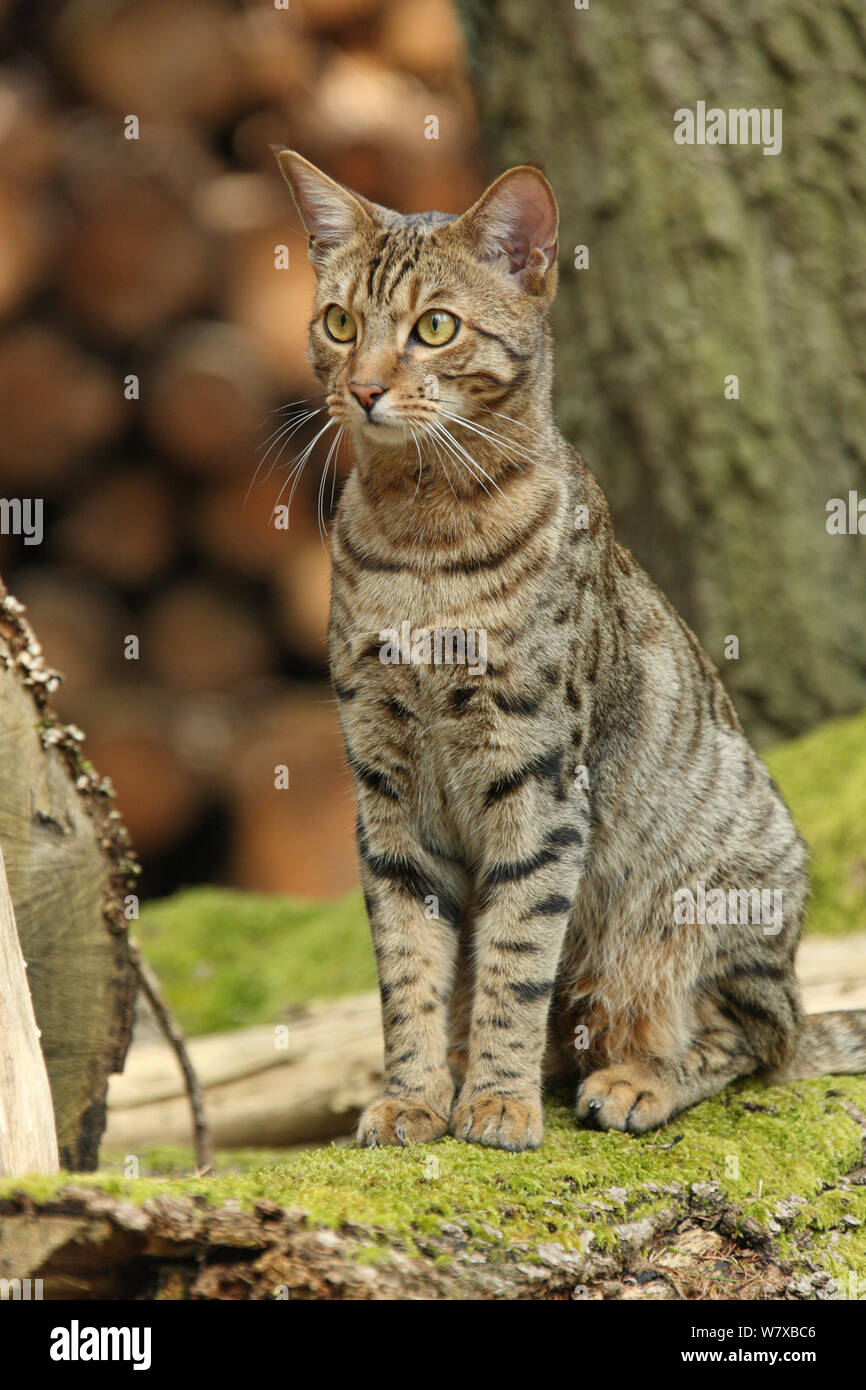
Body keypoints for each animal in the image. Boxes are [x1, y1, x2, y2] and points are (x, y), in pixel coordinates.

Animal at [278, 152, 866, 1150]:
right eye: (340, 322)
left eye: (435, 328)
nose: (361, 389)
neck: (421, 534)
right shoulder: (384, 787)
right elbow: (409, 966)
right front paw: (416, 1095)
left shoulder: (540, 775)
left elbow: (517, 951)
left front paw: (499, 1103)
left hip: (697, 910)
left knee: (751, 1040)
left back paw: (634, 1082)